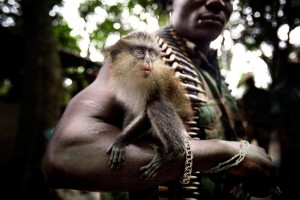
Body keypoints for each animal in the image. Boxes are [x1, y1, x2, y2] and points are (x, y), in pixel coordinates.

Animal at [104, 31, 193, 180]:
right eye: (140, 51)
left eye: (151, 53)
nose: (148, 61)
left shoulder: (157, 81)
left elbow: (147, 113)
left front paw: (121, 141)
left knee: (156, 105)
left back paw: (172, 152)